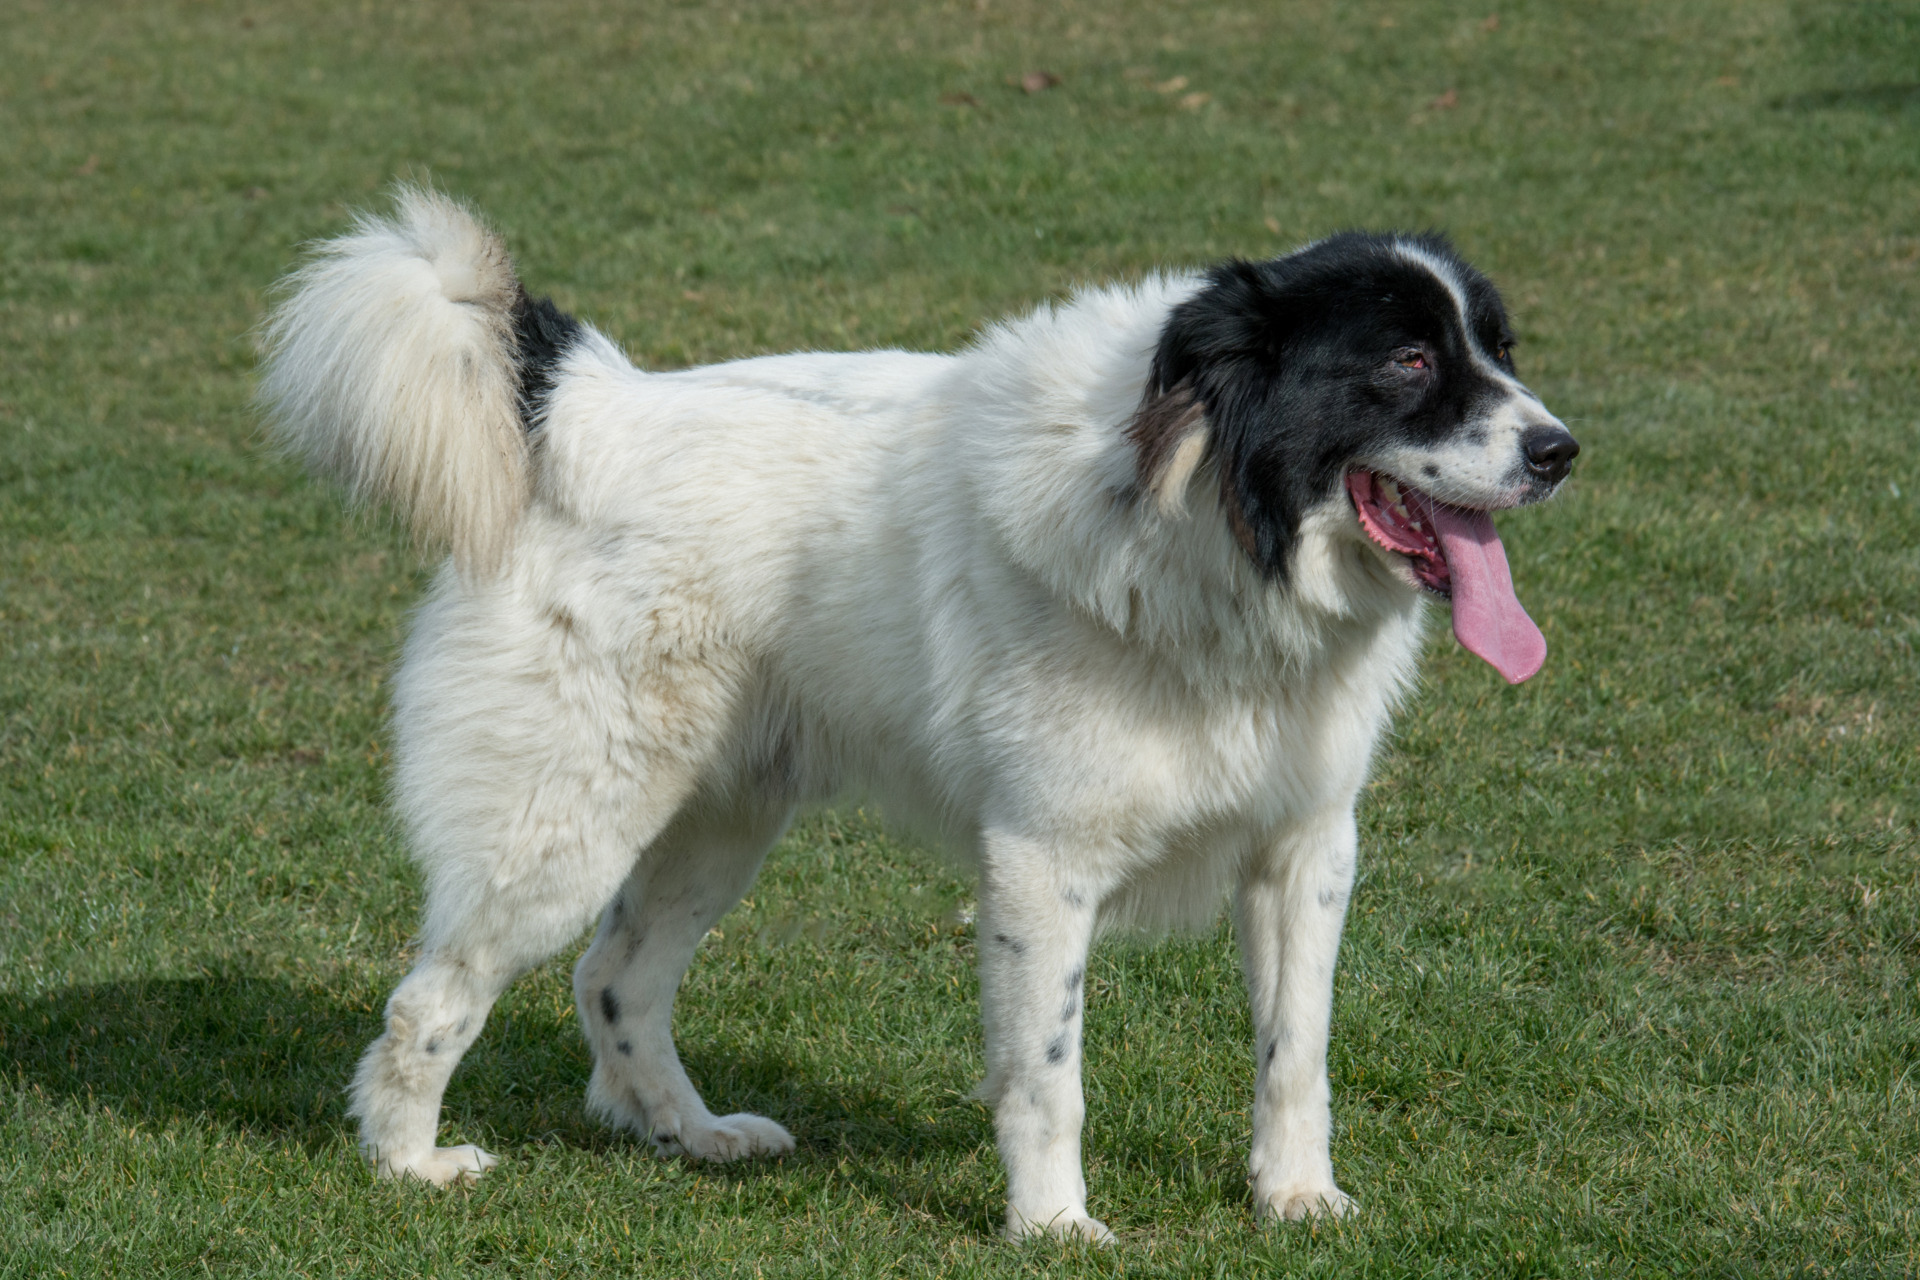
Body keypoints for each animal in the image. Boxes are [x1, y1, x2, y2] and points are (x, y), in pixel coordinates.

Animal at [259, 189, 1574, 1243]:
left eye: (1499, 349)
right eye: (1407, 363)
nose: (1561, 449)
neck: (1208, 520)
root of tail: (587, 409)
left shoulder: (1305, 847)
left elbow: (1295, 1049)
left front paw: (1296, 1198)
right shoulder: (1043, 862)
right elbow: (1048, 1071)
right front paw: (1054, 1226)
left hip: (716, 820)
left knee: (615, 975)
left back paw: (691, 1132)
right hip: (565, 823)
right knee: (435, 997)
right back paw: (411, 1163)